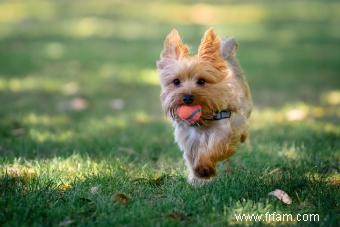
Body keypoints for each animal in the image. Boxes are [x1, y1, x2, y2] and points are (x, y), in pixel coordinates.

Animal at [157, 27, 252, 184]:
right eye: (176, 81)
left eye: (201, 81)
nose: (187, 97)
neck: (202, 121)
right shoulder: (188, 138)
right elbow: (192, 157)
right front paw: (196, 178)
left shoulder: (224, 129)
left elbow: (215, 147)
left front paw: (204, 168)